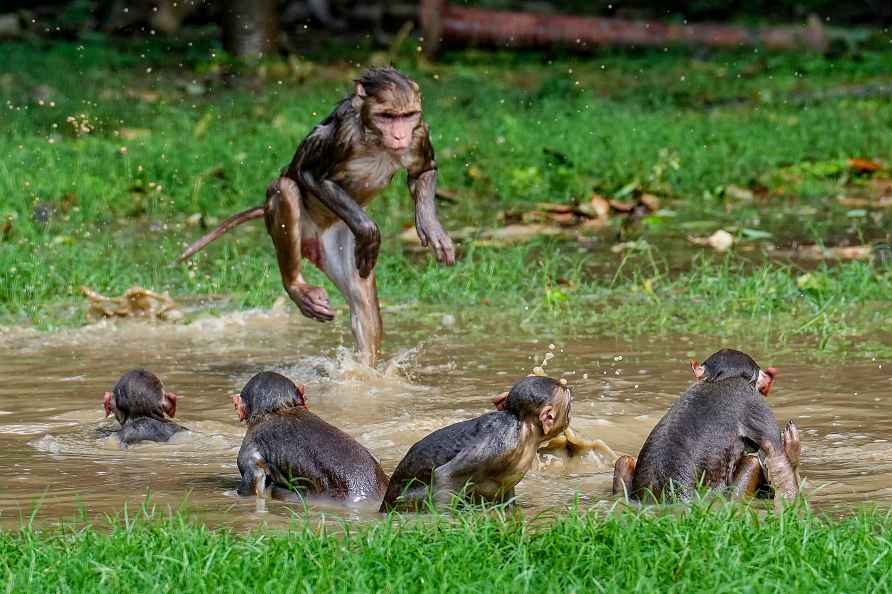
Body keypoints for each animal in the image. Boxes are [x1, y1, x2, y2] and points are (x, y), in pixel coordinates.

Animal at [176, 66, 452, 366]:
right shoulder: (343, 136)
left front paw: (432, 228)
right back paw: (296, 286)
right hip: (289, 223)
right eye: (387, 116)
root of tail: (311, 239)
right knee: (286, 188)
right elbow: (310, 175)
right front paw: (370, 231)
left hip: (338, 240)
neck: (374, 139)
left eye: (407, 115)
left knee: (364, 305)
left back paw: (364, 372)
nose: (400, 137)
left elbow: (423, 171)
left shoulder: (419, 132)